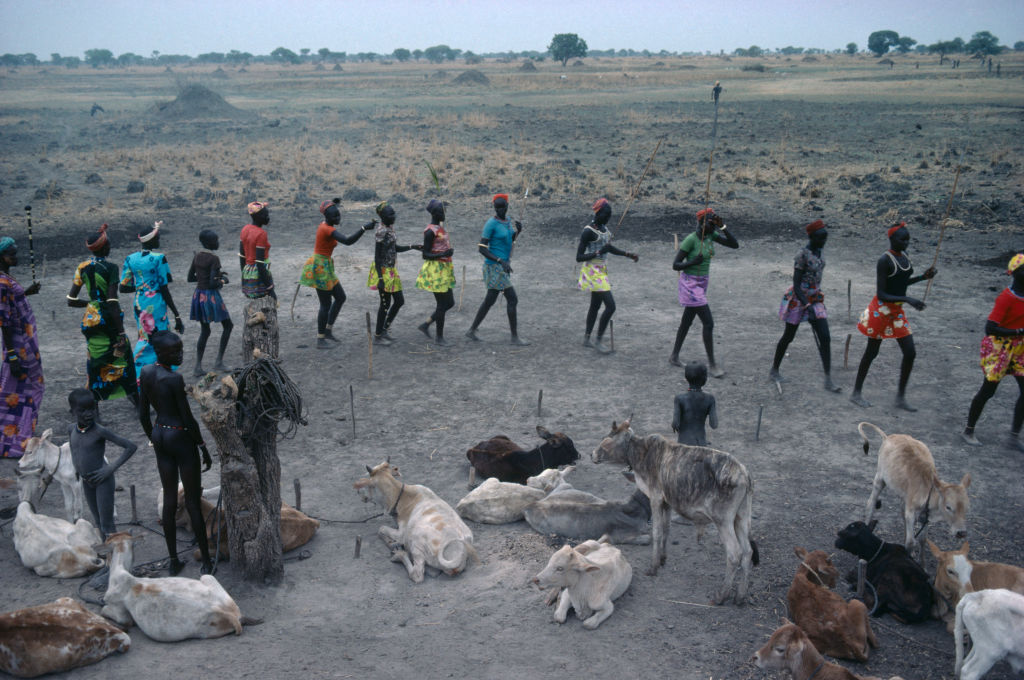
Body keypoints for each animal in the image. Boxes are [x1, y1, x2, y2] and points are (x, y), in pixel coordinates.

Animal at [99, 532, 251, 641]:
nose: (105, 561)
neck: (119, 572)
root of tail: (231, 614)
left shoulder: (122, 615)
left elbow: (105, 610)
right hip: (208, 577)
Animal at [591, 418, 757, 605]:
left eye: (608, 439)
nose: (592, 454)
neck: (639, 454)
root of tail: (745, 475)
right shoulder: (667, 502)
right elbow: (666, 530)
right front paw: (663, 559)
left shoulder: (655, 497)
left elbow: (657, 532)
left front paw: (653, 567)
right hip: (741, 517)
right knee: (748, 551)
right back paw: (740, 596)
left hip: (723, 520)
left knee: (734, 553)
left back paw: (721, 595)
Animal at [858, 421, 970, 562]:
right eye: (948, 507)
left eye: (966, 507)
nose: (961, 532)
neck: (928, 490)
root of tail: (889, 437)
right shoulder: (911, 512)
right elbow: (911, 542)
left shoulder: (925, 515)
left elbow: (922, 539)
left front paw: (921, 563)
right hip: (880, 479)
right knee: (870, 504)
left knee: (901, 511)